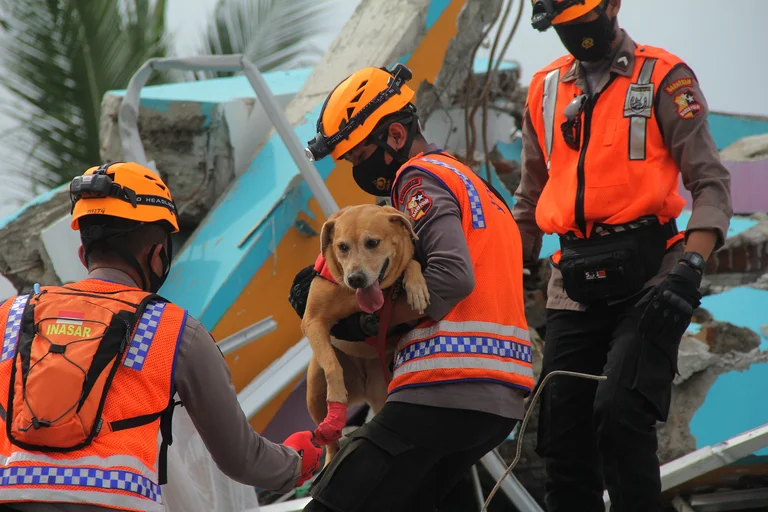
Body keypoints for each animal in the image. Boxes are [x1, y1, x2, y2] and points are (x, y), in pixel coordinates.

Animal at [302, 203, 432, 464]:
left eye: (372, 243)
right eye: (342, 247)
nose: (355, 279)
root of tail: (362, 385)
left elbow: (411, 264)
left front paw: (415, 287)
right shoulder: (312, 322)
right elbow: (332, 366)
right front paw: (337, 396)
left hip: (382, 392)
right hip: (314, 391)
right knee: (330, 443)